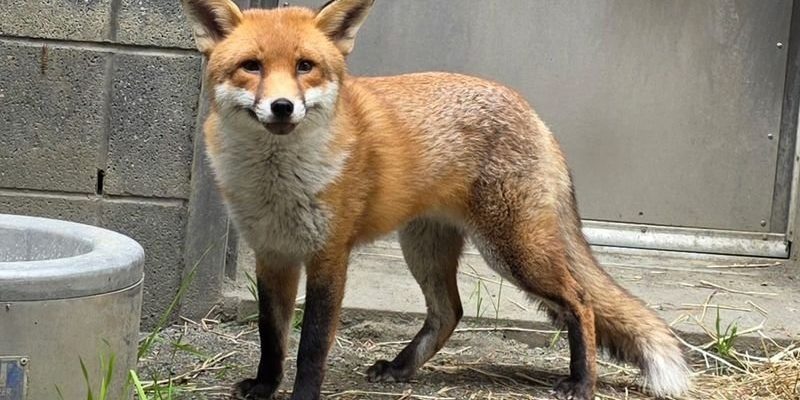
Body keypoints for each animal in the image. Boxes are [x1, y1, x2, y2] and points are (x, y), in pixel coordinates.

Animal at [180, 0, 691, 399]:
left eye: (305, 66)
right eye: (252, 66)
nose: (283, 107)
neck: (277, 183)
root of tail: (532, 112)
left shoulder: (329, 256)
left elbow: (311, 348)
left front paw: (303, 394)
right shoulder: (273, 254)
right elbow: (272, 337)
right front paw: (265, 386)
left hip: (514, 251)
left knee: (580, 302)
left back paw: (582, 383)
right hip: (425, 247)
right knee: (449, 312)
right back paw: (401, 367)